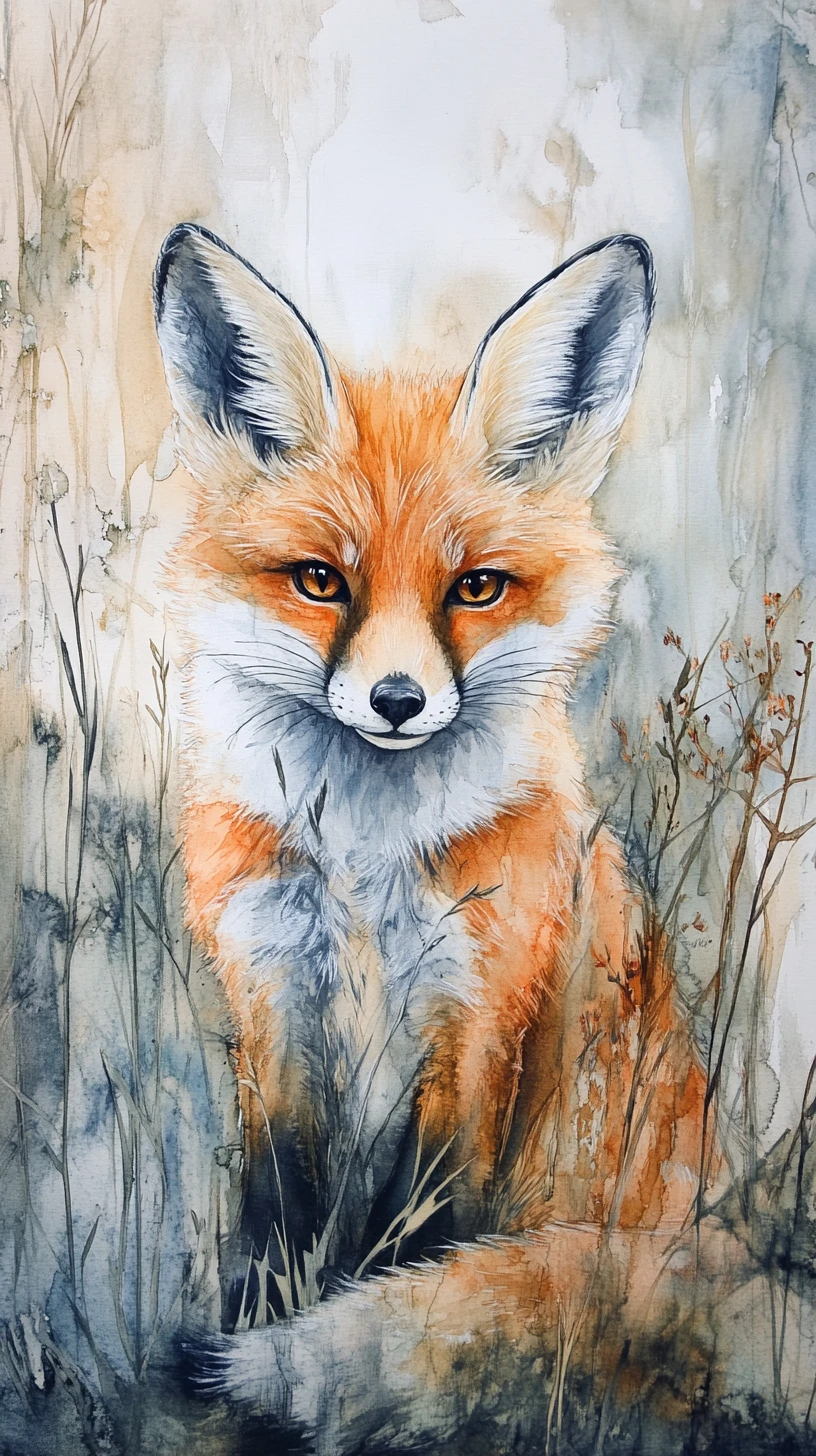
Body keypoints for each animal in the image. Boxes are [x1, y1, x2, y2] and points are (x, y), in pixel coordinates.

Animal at [152, 227, 792, 1453]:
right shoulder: (271, 999)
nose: (398, 701)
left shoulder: (479, 1015)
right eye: (322, 581)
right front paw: (256, 1329)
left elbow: (419, 1237)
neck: (364, 869)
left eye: (476, 588)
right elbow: (275, 1213)